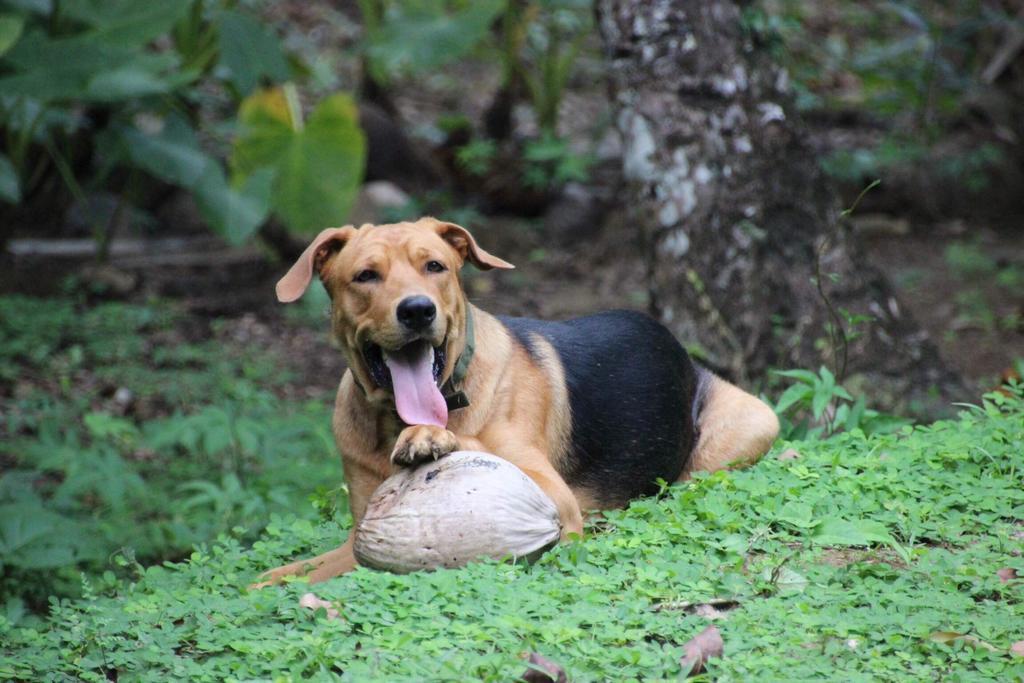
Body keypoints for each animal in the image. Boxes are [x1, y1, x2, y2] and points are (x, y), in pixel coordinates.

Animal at [253, 219, 774, 589]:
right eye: (365, 276)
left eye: (435, 267)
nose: (418, 310)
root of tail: (688, 359)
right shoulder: (355, 539)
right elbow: (271, 579)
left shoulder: (554, 499)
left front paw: (428, 436)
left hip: (754, 421)